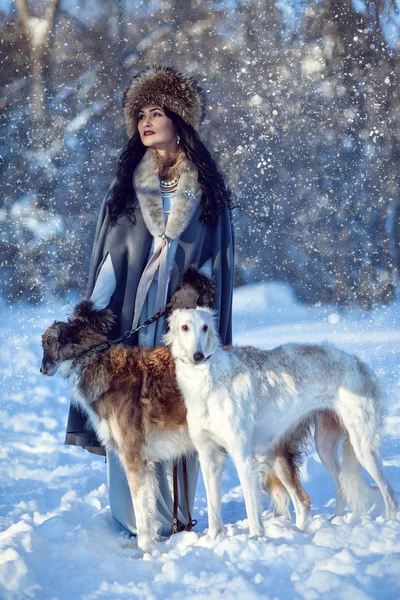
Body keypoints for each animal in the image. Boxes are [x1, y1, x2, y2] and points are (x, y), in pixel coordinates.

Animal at [41, 302, 312, 552]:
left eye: (46, 343)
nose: (41, 369)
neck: (97, 362)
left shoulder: (134, 458)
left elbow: (140, 513)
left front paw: (145, 549)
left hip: (267, 451)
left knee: (301, 498)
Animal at [165, 310, 396, 540]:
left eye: (205, 327)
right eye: (184, 327)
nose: (198, 356)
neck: (209, 383)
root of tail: (359, 363)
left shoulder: (242, 456)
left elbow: (252, 509)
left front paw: (256, 539)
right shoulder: (209, 456)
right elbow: (214, 513)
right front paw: (213, 540)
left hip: (363, 447)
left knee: (389, 493)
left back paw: (388, 522)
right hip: (321, 447)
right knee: (335, 488)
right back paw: (328, 523)